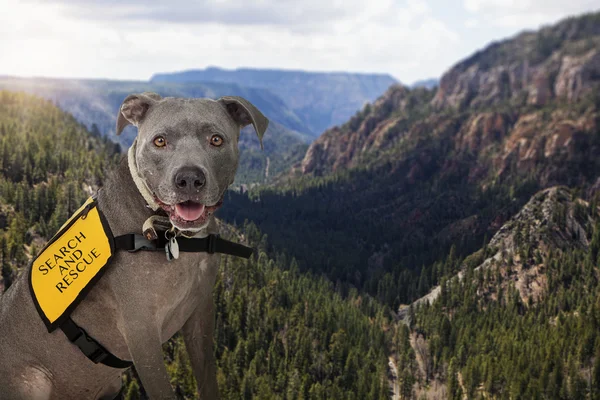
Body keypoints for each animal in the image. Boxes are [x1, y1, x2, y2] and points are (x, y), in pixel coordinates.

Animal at [0, 92, 268, 398]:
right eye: (160, 141)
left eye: (216, 139)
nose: (189, 179)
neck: (172, 237)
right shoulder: (141, 334)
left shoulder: (201, 313)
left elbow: (207, 378)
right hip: (33, 381)